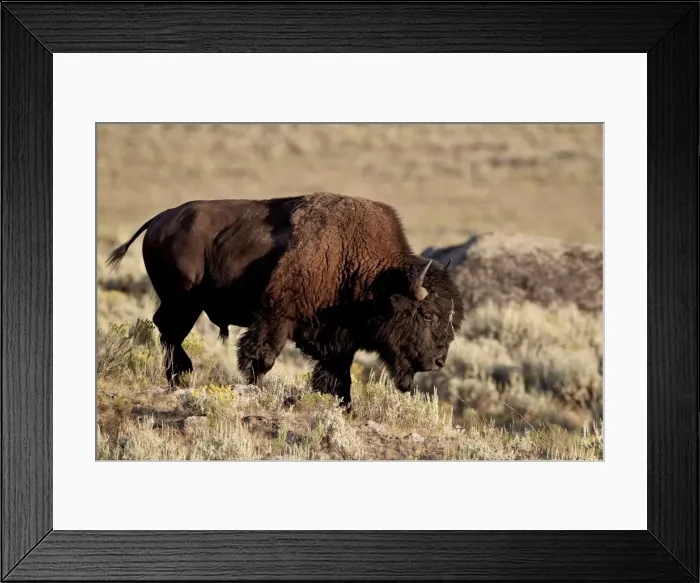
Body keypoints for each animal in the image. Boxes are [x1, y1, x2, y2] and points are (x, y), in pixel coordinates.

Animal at [106, 192, 464, 409]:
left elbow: (338, 376)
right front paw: (254, 390)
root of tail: (160, 220)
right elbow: (260, 357)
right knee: (169, 331)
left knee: (167, 331)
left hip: (183, 303)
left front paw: (343, 407)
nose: (439, 360)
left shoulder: (339, 337)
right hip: (183, 301)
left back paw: (180, 375)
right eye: (427, 314)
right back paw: (179, 377)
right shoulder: (277, 317)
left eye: (452, 317)